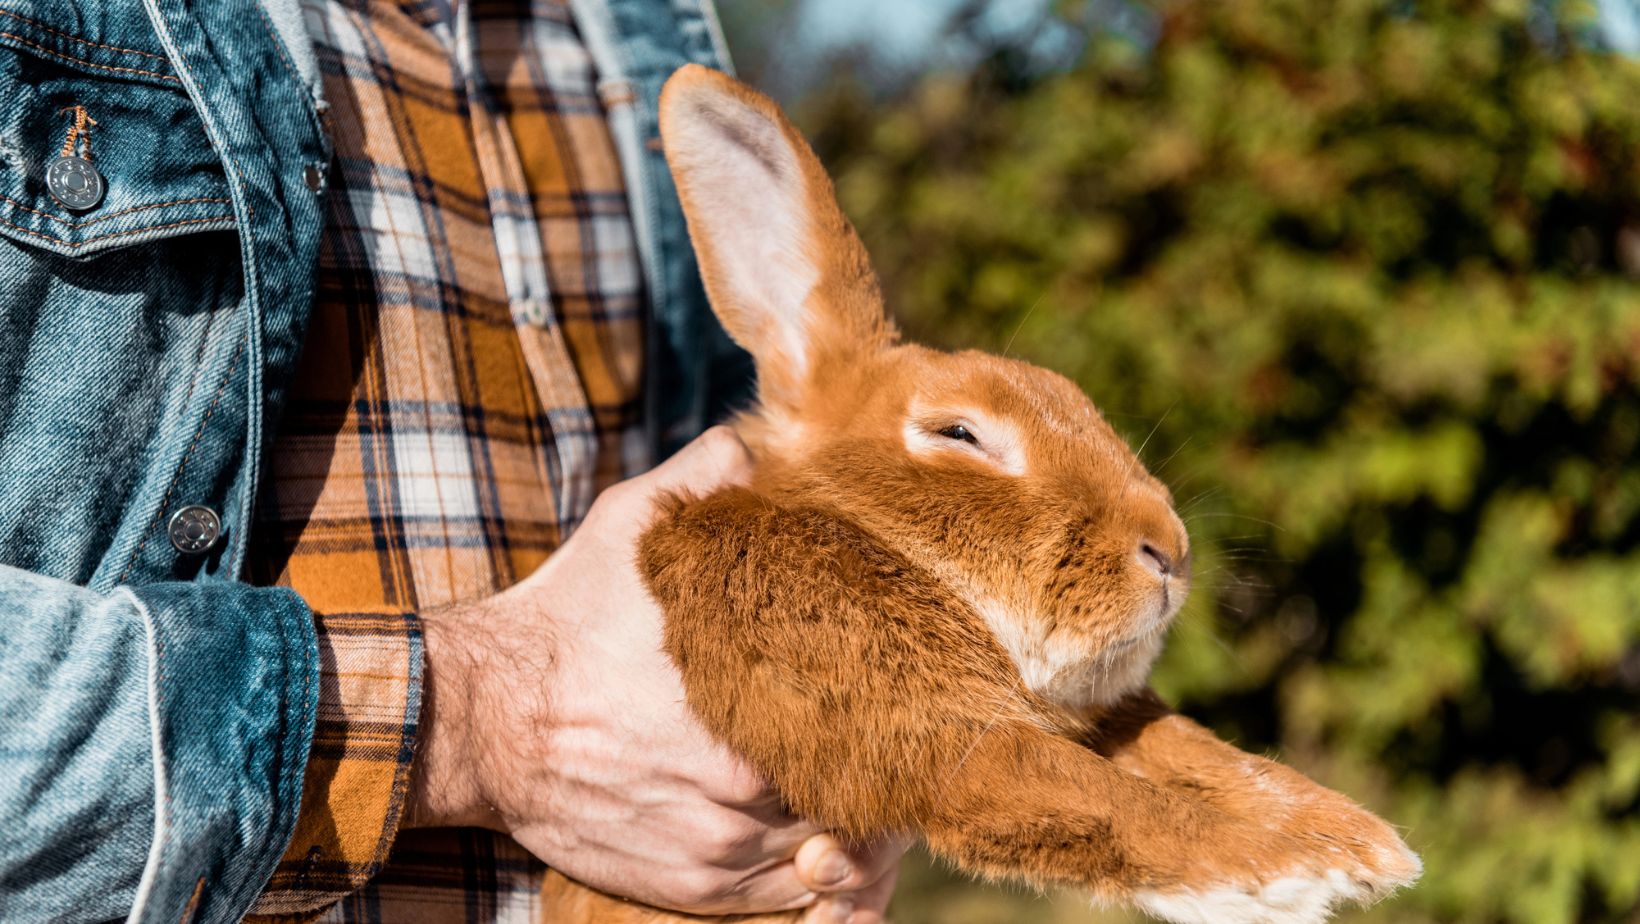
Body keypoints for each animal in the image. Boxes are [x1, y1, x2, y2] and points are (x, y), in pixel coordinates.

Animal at [537, 65, 1423, 924]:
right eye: (959, 434)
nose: (1169, 553)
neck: (881, 542)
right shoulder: (923, 728)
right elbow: (1100, 799)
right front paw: (1301, 873)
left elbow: (1191, 750)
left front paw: (1357, 840)